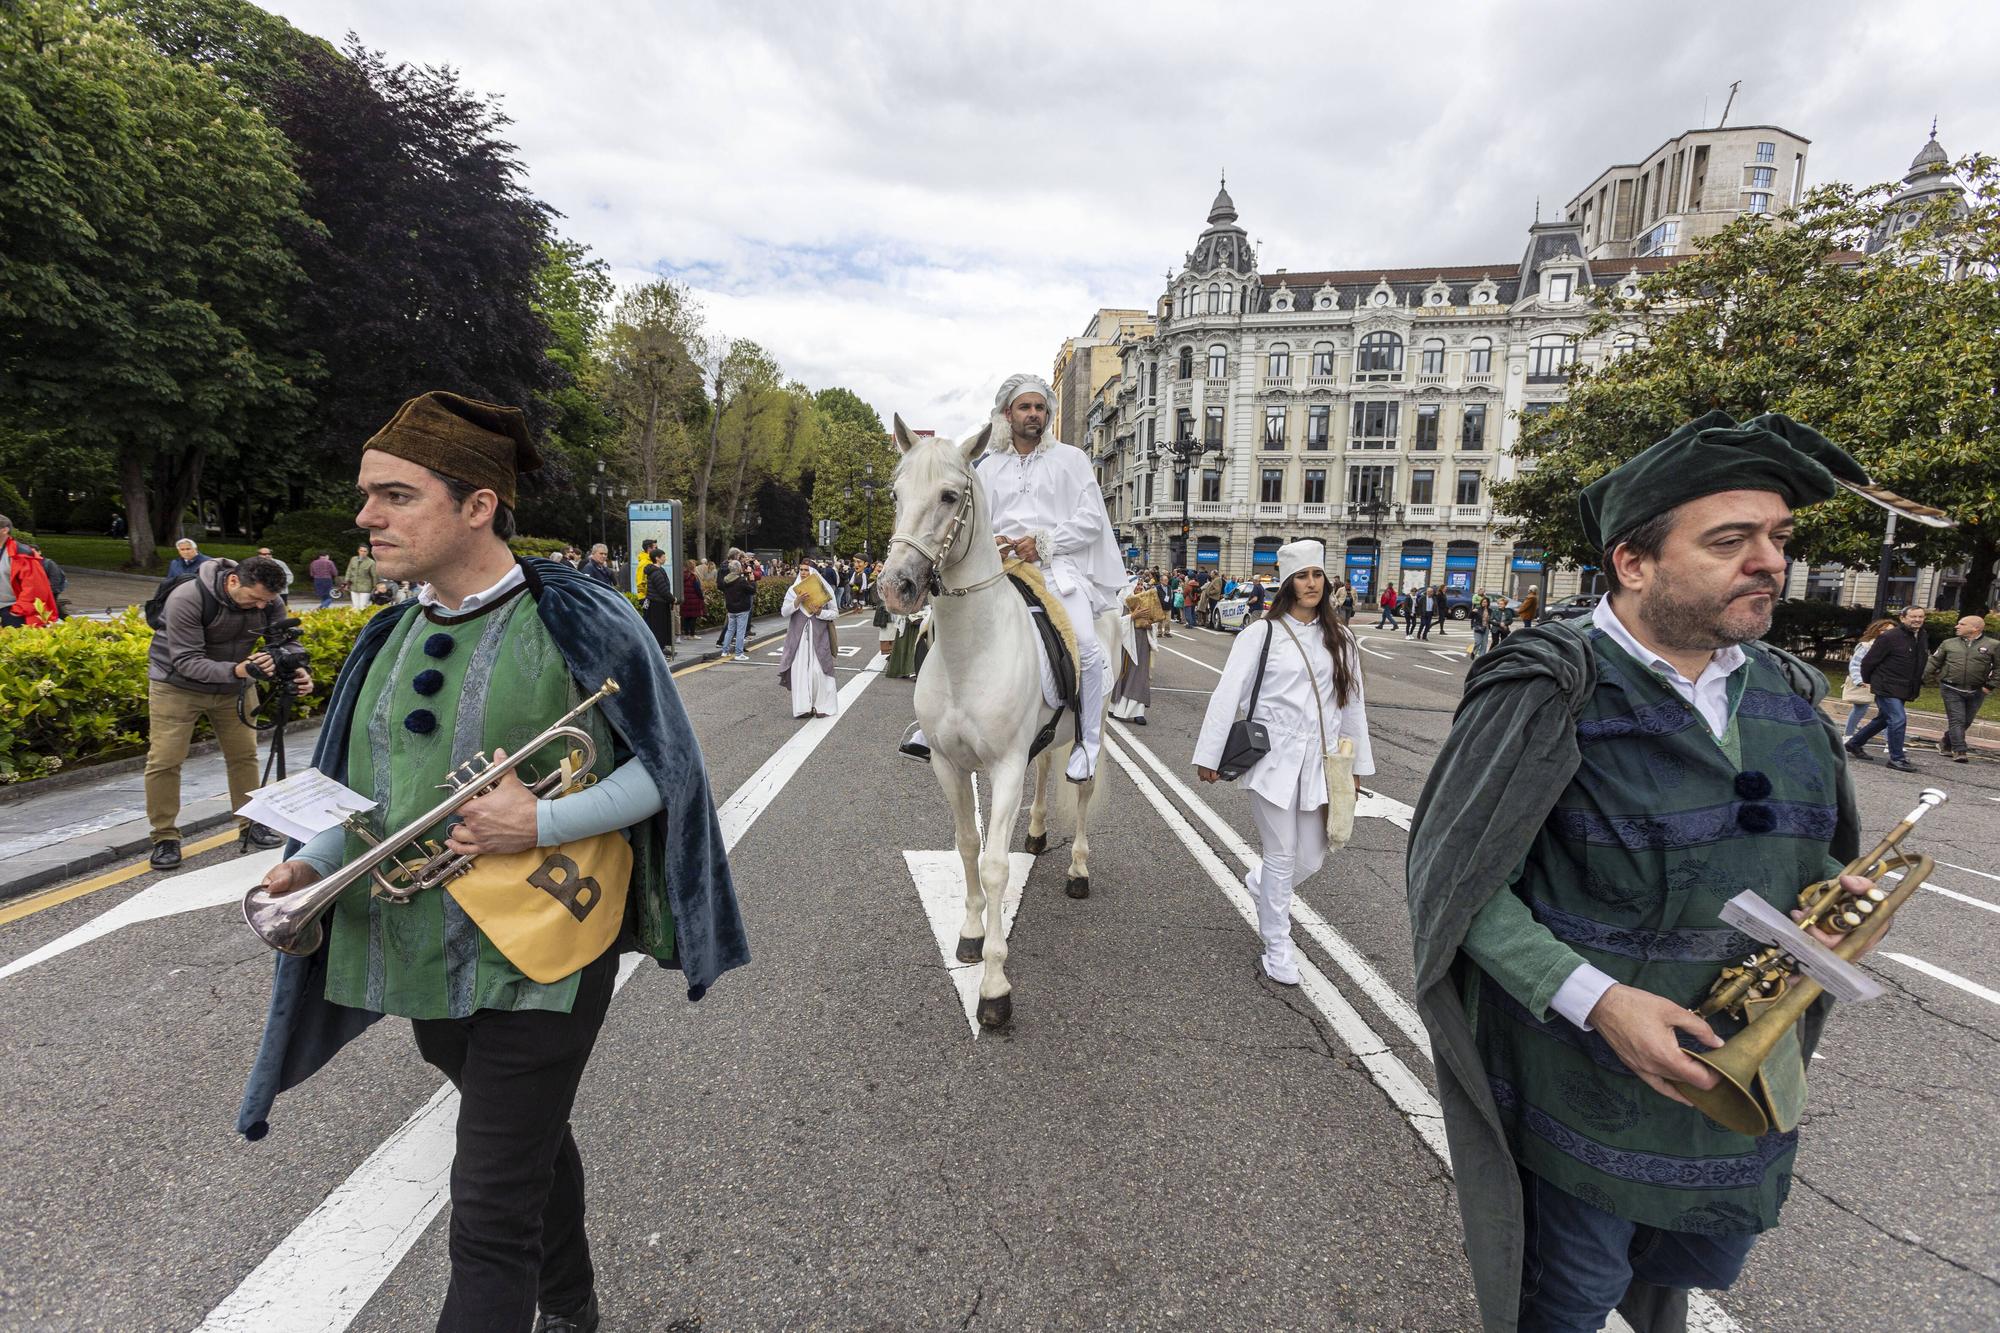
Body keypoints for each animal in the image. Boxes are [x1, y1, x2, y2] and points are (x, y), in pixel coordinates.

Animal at [884, 416, 1120, 1024]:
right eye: (895, 494)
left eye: (949, 496)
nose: (895, 587)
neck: (970, 651)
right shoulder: (948, 764)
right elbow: (967, 845)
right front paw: (969, 935)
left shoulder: (1006, 766)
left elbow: (994, 867)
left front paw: (993, 986)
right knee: (1047, 771)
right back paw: (1035, 833)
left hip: (1095, 731)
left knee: (1082, 789)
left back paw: (1077, 870)